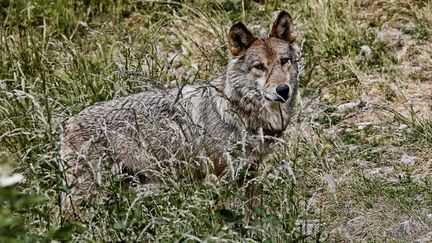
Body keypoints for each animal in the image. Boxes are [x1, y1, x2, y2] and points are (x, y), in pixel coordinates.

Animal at [60, 10, 300, 215]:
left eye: (284, 61)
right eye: (259, 66)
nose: (283, 90)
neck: (240, 112)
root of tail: (68, 124)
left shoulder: (250, 173)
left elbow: (252, 216)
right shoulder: (219, 177)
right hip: (90, 195)